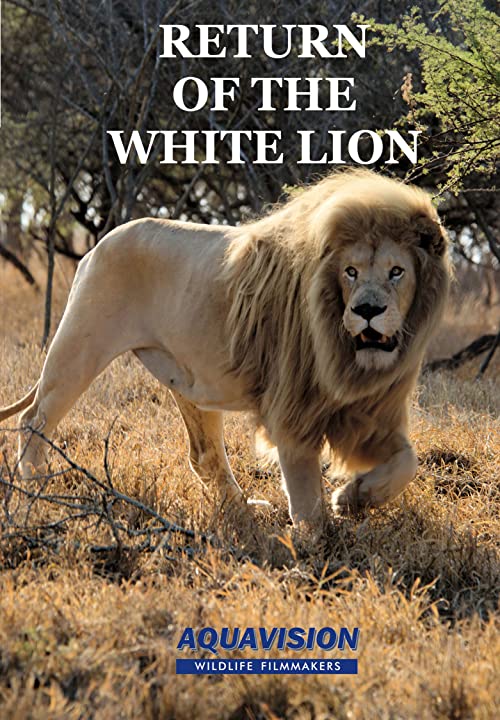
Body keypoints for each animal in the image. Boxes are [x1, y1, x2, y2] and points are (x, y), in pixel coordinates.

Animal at [0, 169, 451, 529]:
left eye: (397, 272)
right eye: (350, 272)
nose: (368, 311)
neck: (349, 355)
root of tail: (97, 245)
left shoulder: (372, 412)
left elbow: (407, 461)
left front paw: (353, 499)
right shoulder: (294, 409)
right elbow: (305, 491)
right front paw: (317, 542)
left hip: (189, 379)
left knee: (204, 454)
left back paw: (245, 510)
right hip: (80, 346)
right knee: (33, 419)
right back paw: (36, 487)